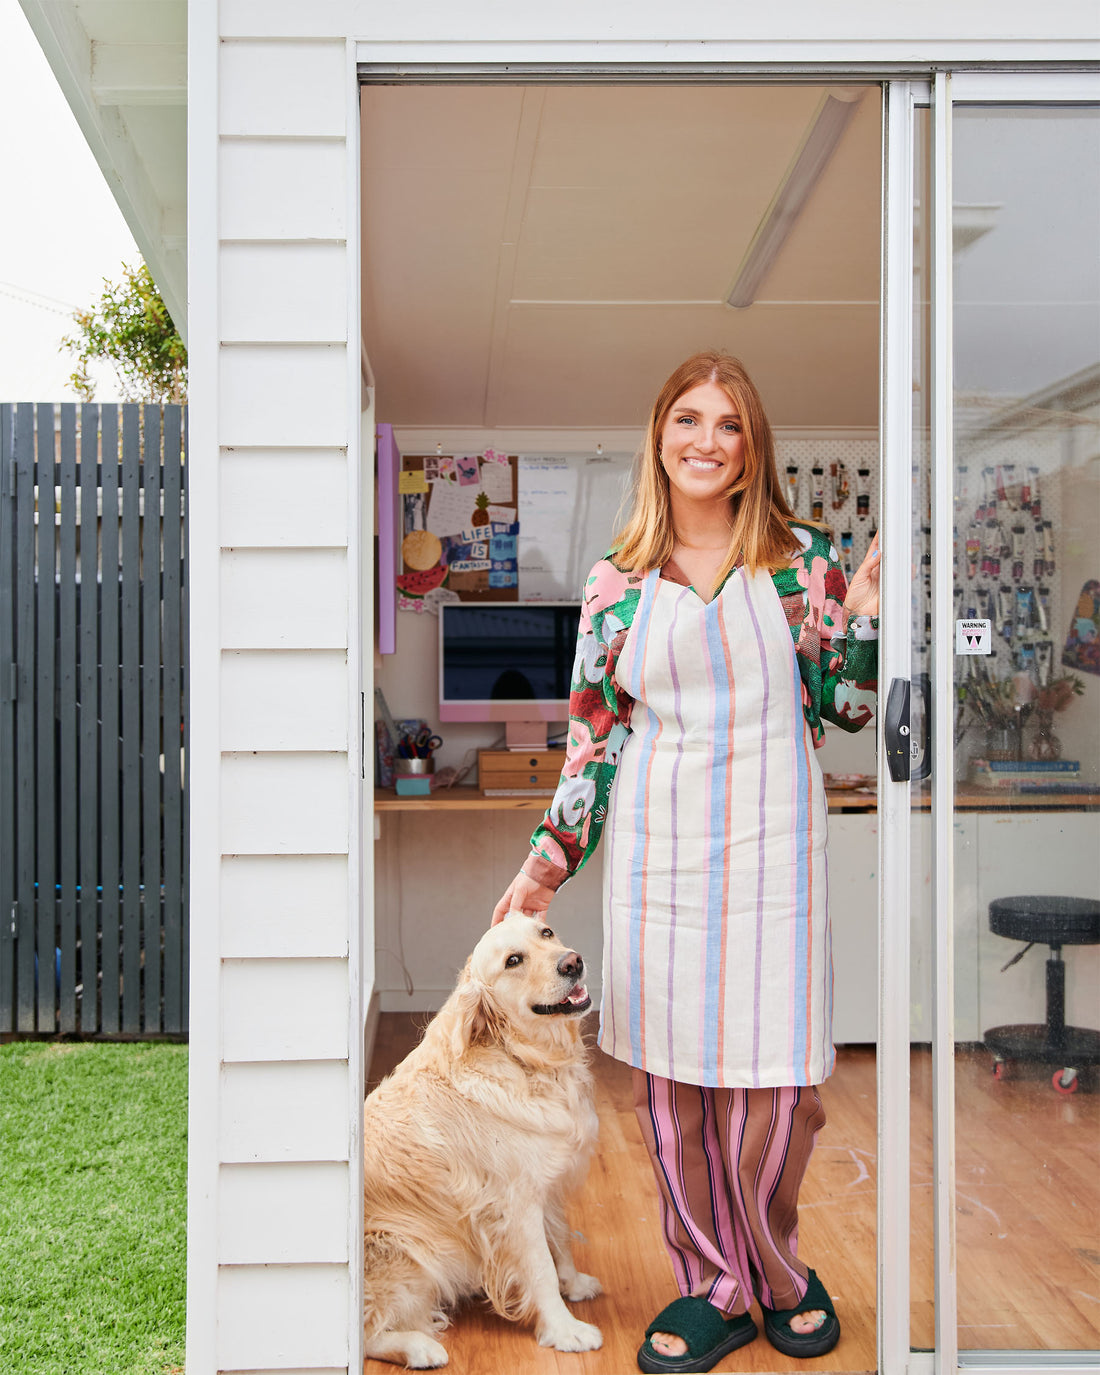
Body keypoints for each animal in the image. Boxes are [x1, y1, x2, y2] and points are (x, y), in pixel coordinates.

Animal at [360, 913, 602, 1364]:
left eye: (546, 933)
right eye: (513, 961)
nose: (573, 962)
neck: (522, 1058)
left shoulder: (545, 1181)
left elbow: (560, 1240)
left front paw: (574, 1284)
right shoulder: (514, 1202)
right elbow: (540, 1266)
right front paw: (564, 1330)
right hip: (406, 1251)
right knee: (366, 1330)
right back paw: (420, 1347)